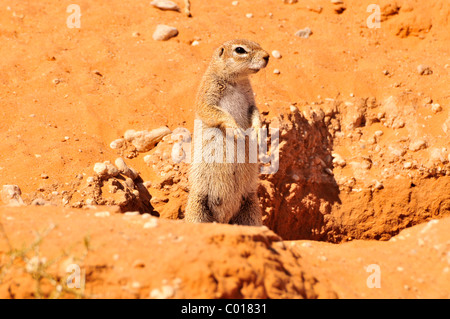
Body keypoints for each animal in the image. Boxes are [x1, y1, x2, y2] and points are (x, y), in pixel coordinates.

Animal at [185, 38, 268, 226]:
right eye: (240, 50)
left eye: (258, 43)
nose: (267, 56)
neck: (235, 82)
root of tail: (224, 218)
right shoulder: (207, 93)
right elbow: (212, 111)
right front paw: (235, 128)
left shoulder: (250, 99)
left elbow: (255, 111)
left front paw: (258, 132)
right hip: (197, 208)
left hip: (251, 207)